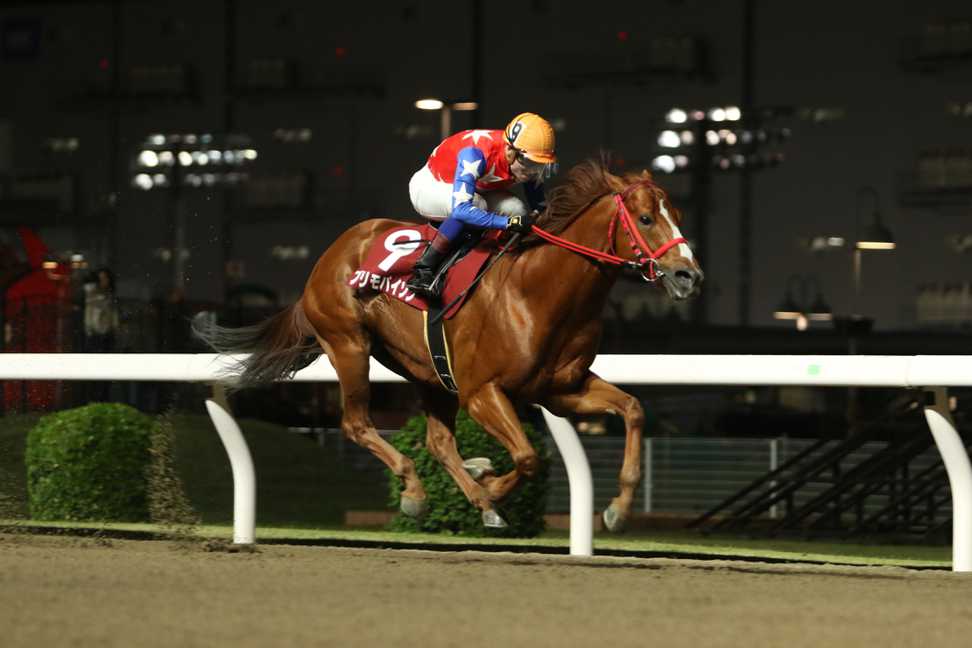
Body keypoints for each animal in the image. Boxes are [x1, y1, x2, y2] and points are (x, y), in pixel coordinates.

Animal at [197, 158, 704, 532]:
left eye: (678, 217)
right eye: (645, 219)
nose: (688, 276)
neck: (539, 290)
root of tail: (330, 255)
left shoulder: (562, 390)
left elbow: (633, 410)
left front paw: (617, 508)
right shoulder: (483, 392)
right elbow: (527, 457)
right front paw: (491, 488)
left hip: (428, 371)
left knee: (438, 441)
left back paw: (469, 481)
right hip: (349, 345)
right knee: (357, 424)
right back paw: (419, 492)